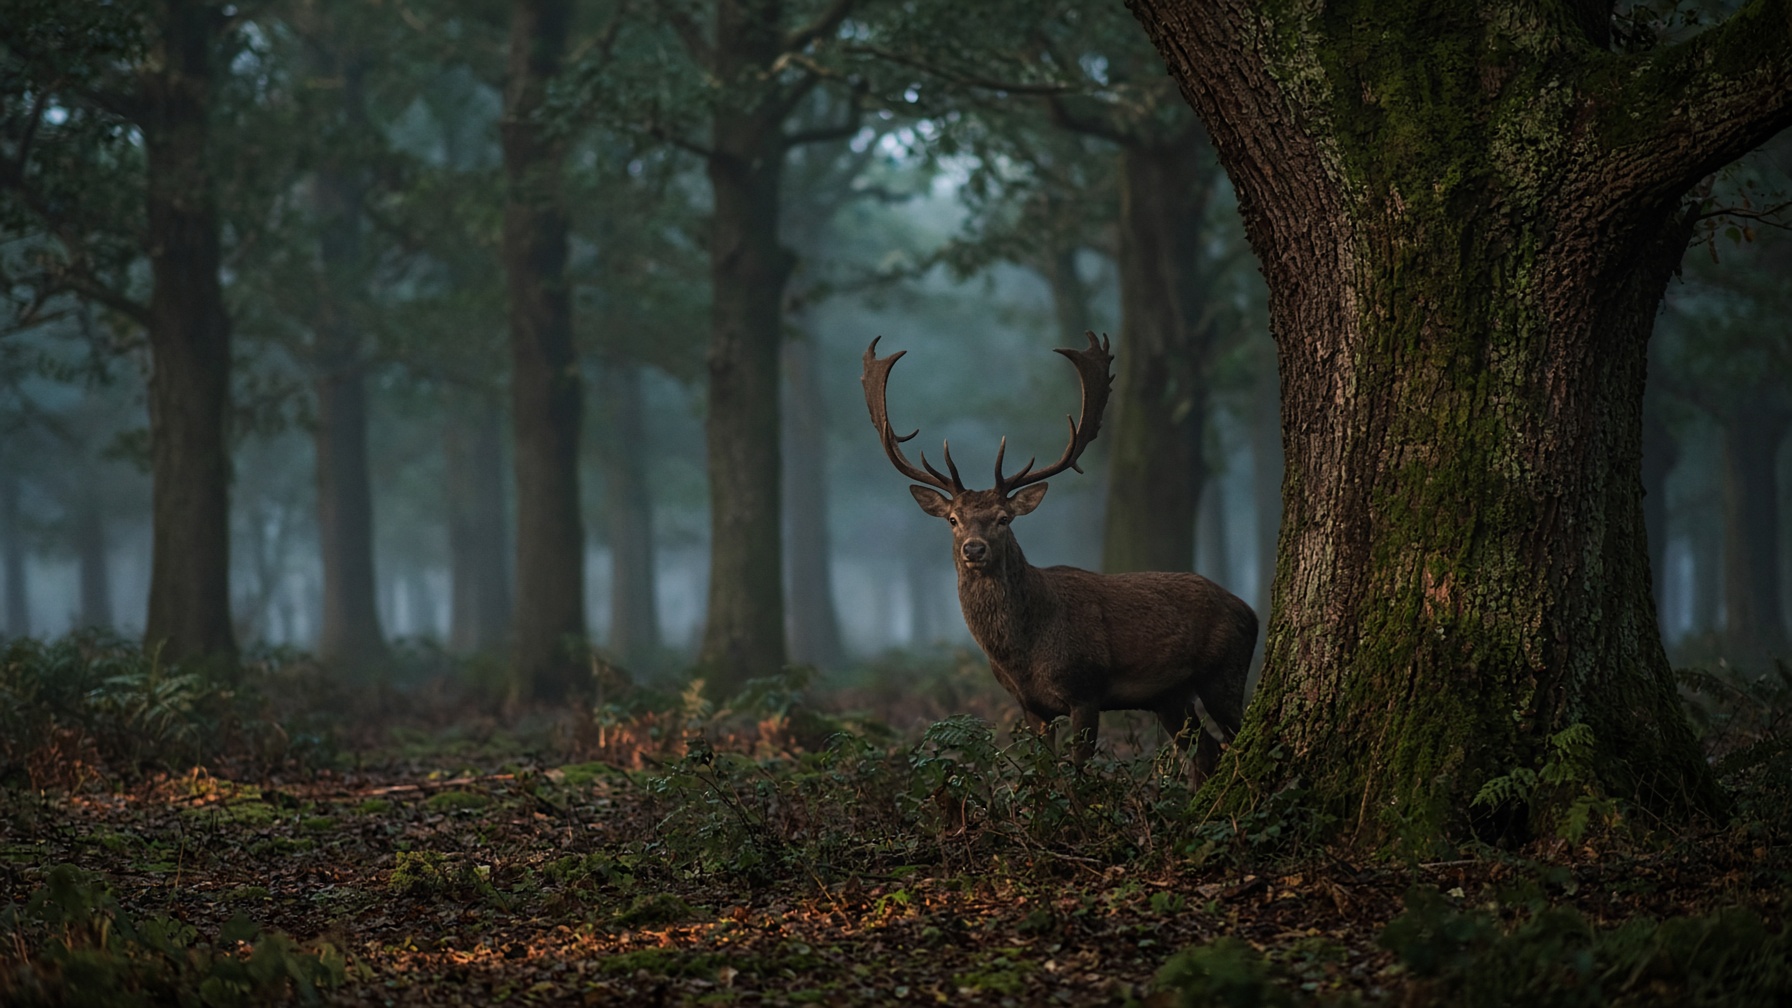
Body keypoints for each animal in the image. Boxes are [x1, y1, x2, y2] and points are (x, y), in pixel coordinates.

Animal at [862, 332, 1257, 782]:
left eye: (1003, 518)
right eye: (952, 519)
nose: (974, 548)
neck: (1023, 656)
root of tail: (1250, 611)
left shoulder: (1085, 689)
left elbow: (1077, 774)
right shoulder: (1030, 706)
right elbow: (1044, 774)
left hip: (1224, 673)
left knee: (1233, 739)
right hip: (1171, 697)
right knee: (1206, 752)